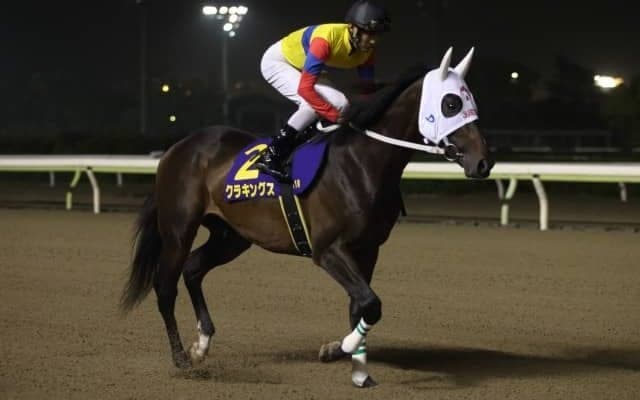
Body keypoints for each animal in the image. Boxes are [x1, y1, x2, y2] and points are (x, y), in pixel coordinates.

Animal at [120, 47, 494, 387]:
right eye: (450, 104)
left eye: (469, 100)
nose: (483, 163)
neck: (362, 162)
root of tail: (176, 149)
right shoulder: (328, 249)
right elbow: (371, 303)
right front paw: (341, 348)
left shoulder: (368, 248)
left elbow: (360, 305)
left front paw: (356, 367)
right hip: (178, 229)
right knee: (165, 287)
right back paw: (181, 357)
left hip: (232, 236)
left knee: (194, 268)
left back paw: (202, 344)